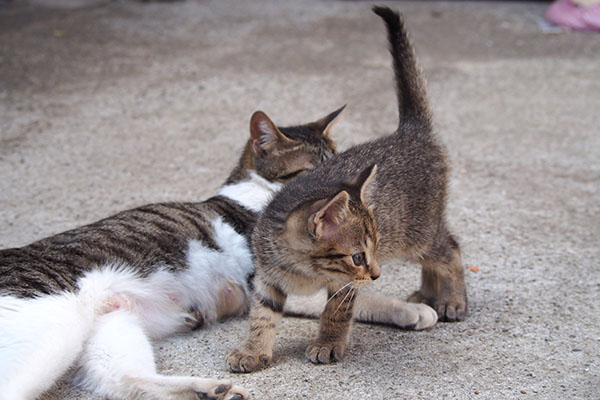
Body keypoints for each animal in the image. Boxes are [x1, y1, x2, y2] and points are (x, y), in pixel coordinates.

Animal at [227, 6, 466, 374]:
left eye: (370, 251)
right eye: (357, 256)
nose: (377, 274)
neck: (303, 272)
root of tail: (410, 131)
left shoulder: (344, 284)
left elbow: (335, 312)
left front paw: (327, 344)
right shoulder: (266, 281)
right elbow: (262, 318)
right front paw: (253, 351)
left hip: (417, 233)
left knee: (450, 249)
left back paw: (452, 300)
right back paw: (428, 294)